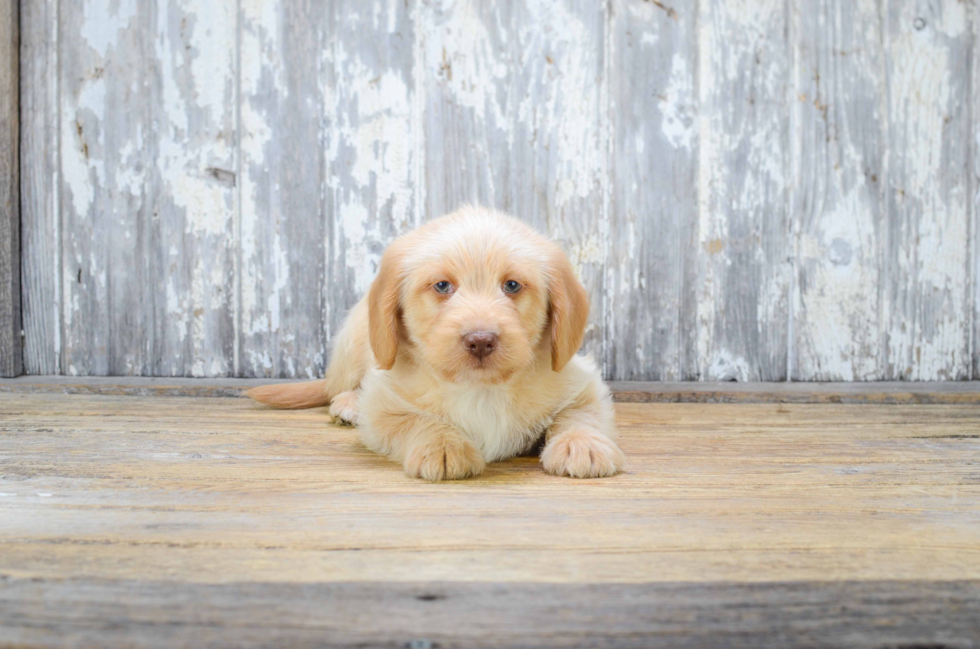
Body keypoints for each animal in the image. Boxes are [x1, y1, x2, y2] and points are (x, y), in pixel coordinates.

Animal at [249, 205, 624, 478]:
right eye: (443, 286)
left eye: (513, 285)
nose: (480, 340)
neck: (481, 389)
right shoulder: (383, 406)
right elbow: (417, 419)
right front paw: (443, 445)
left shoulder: (582, 382)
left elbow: (579, 414)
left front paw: (582, 445)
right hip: (357, 339)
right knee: (339, 387)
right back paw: (348, 403)